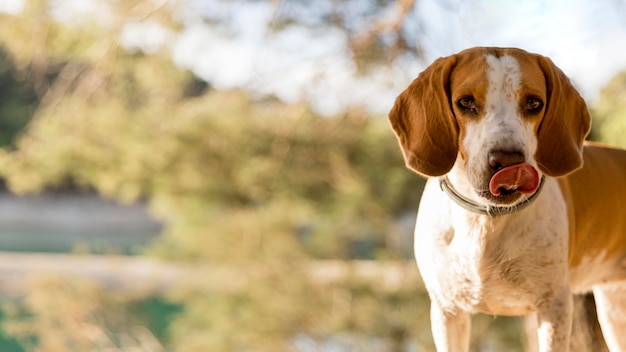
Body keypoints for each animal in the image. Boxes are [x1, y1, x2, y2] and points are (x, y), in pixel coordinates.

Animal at [388, 45, 624, 350]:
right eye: (465, 102)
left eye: (534, 103)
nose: (508, 161)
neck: (485, 221)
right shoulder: (447, 311)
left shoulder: (554, 309)